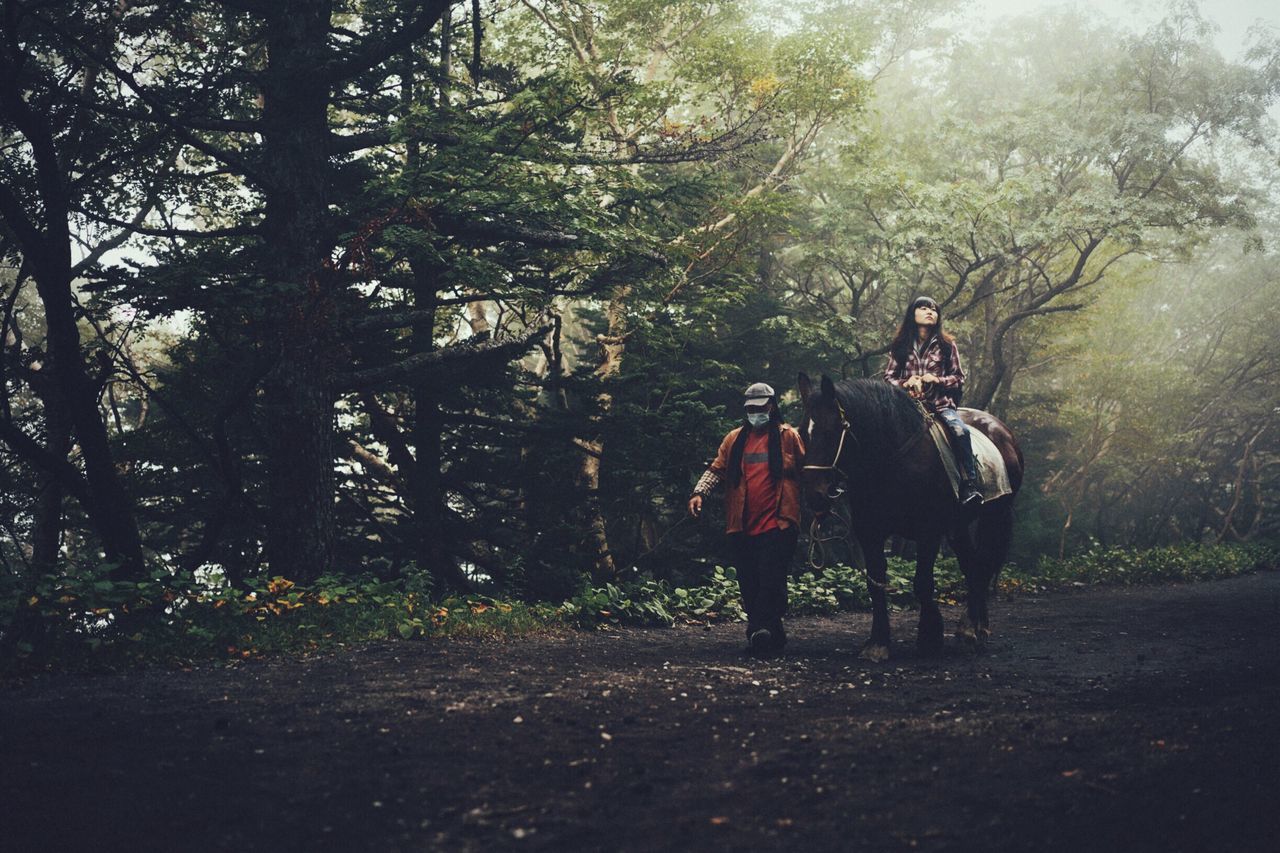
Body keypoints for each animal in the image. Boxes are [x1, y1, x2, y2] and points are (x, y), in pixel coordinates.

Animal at [793, 371, 1024, 655]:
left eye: (831, 432)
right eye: (802, 433)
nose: (815, 495)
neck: (893, 460)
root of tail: (1002, 431)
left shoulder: (929, 531)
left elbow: (922, 582)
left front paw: (929, 637)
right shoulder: (870, 533)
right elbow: (875, 583)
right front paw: (878, 642)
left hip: (995, 516)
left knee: (984, 563)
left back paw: (975, 628)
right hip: (958, 527)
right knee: (973, 566)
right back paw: (971, 628)